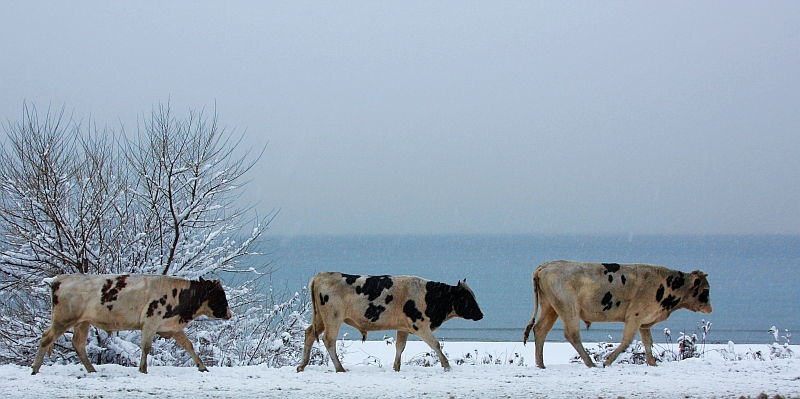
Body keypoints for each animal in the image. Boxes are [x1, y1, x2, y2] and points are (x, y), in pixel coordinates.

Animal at [31, 276, 231, 376]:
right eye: (220, 295)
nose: (229, 314)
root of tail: (60, 279)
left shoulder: (172, 327)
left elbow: (188, 345)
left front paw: (202, 366)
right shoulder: (151, 322)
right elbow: (146, 346)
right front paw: (143, 369)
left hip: (82, 322)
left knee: (78, 344)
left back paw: (92, 370)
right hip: (63, 319)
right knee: (46, 338)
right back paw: (35, 368)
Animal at [294, 274, 482, 374]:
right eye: (466, 297)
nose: (481, 314)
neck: (429, 295)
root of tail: (323, 275)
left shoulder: (403, 328)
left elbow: (400, 347)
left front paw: (396, 367)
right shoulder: (420, 326)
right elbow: (435, 344)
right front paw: (447, 365)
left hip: (320, 319)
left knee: (309, 333)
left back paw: (302, 365)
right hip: (333, 318)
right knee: (329, 340)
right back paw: (340, 368)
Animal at [524, 262, 712, 368]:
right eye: (705, 290)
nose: (710, 309)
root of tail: (546, 266)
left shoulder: (644, 321)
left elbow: (648, 342)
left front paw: (652, 363)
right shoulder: (634, 316)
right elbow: (626, 342)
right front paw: (607, 361)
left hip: (550, 308)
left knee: (540, 330)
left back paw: (541, 364)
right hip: (569, 309)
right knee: (572, 334)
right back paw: (590, 363)